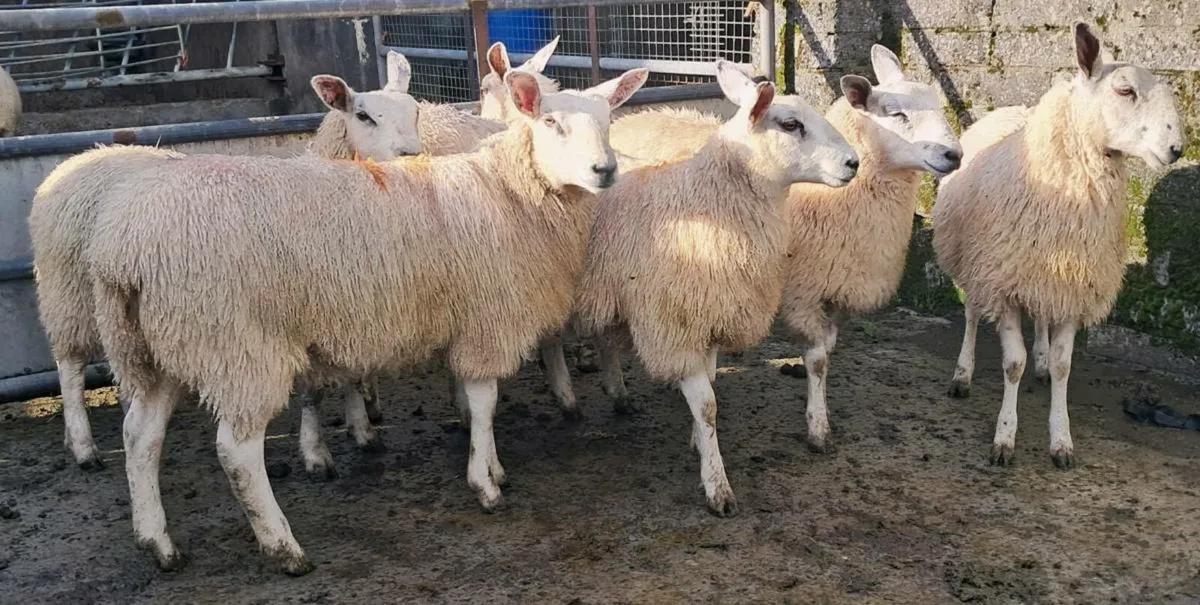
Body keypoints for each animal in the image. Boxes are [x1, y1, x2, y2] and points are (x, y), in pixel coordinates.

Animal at [28, 73, 423, 470]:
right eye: (363, 116)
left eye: (416, 111)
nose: (412, 155)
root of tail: (85, 155)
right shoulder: (307, 308)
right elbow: (315, 390)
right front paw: (315, 451)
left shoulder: (350, 300)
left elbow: (351, 374)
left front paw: (362, 428)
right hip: (68, 290)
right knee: (70, 365)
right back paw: (83, 446)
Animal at [71, 68, 648, 574]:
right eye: (551, 122)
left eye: (608, 120)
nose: (605, 171)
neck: (510, 191)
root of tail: (124, 252)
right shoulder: (487, 320)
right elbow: (484, 403)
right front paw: (486, 485)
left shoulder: (468, 319)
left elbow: (473, 401)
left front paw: (492, 468)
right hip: (235, 345)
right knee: (236, 451)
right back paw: (284, 548)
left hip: (155, 349)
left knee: (139, 437)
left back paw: (157, 543)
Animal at [575, 61, 859, 516]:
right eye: (791, 124)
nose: (854, 162)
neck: (709, 201)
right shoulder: (676, 325)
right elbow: (708, 405)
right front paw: (717, 486)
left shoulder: (709, 313)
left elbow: (708, 386)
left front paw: (697, 442)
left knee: (604, 337)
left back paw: (615, 392)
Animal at [932, 23, 1185, 468]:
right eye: (1125, 91)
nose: (1178, 149)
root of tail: (1013, 107)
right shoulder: (1006, 284)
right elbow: (1012, 364)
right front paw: (1005, 437)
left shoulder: (1073, 284)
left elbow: (1066, 366)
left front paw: (1061, 440)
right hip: (976, 263)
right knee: (972, 315)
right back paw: (963, 374)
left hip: (1046, 278)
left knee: (1042, 321)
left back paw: (1042, 361)